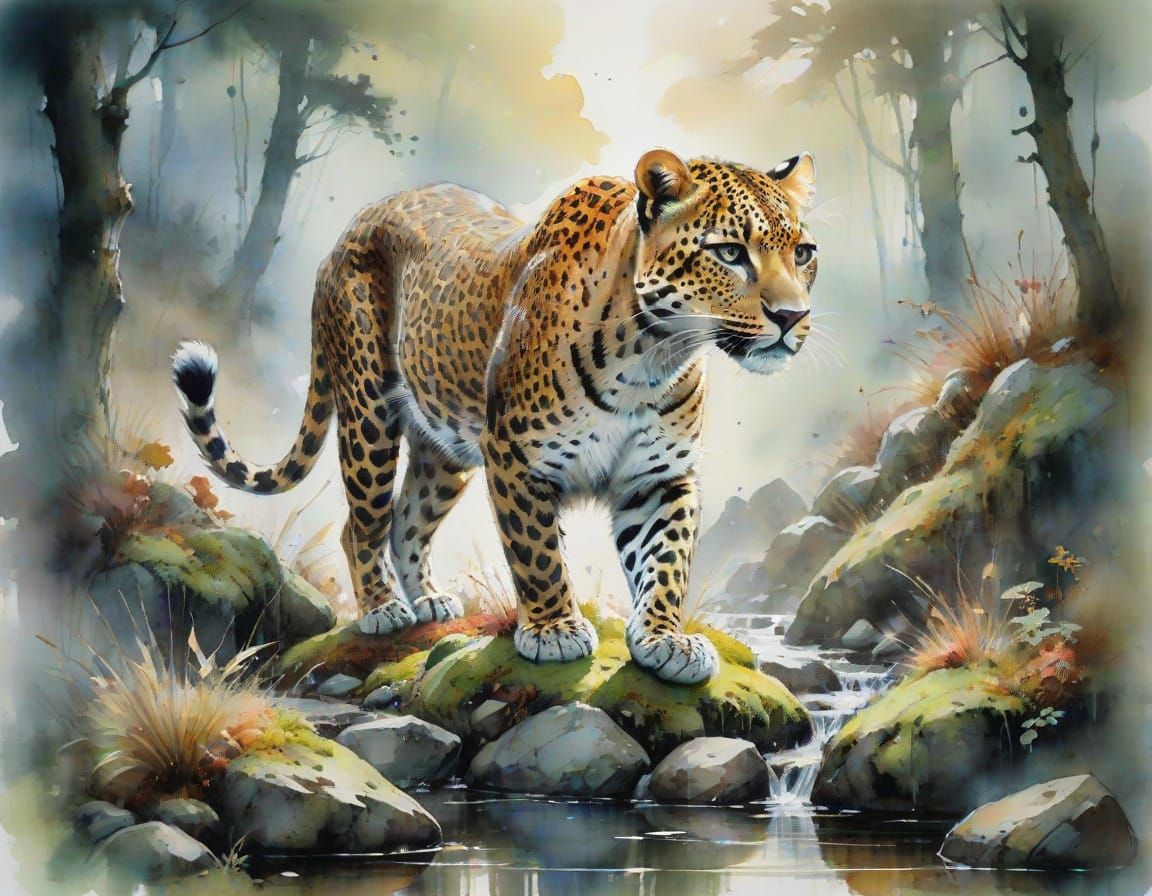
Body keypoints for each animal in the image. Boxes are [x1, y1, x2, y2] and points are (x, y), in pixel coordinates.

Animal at [172, 148, 818, 685]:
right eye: (730, 253)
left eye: (803, 253)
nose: (793, 317)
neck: (653, 354)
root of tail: (354, 225)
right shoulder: (514, 457)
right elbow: (538, 554)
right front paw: (556, 632)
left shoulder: (659, 477)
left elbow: (667, 560)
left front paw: (666, 641)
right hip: (369, 414)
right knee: (362, 523)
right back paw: (382, 609)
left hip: (443, 451)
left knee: (407, 520)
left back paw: (429, 601)